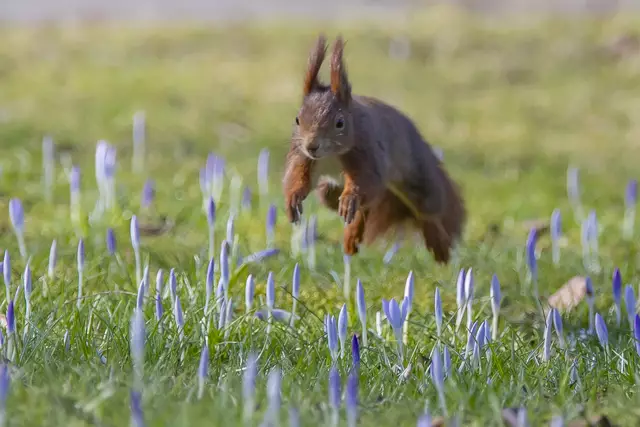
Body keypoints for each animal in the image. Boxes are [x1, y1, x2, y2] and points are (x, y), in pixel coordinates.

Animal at [282, 34, 466, 264]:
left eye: (340, 123)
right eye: (297, 119)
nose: (312, 145)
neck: (331, 155)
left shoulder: (365, 155)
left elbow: (364, 182)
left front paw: (350, 197)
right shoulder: (303, 157)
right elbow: (298, 179)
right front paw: (292, 199)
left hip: (417, 179)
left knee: (427, 210)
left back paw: (439, 245)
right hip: (330, 191)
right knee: (361, 207)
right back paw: (352, 237)